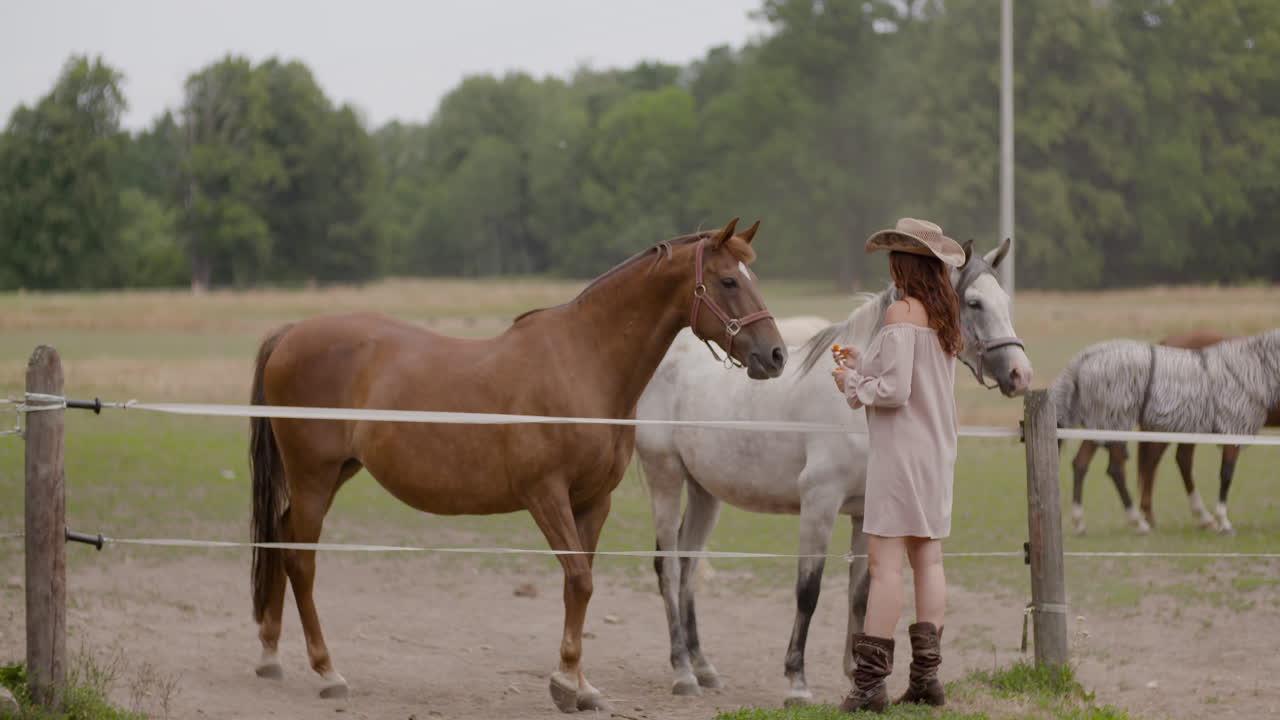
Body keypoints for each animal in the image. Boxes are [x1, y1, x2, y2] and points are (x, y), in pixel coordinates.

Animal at [246, 218, 787, 712]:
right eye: (728, 281)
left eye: (752, 277)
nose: (776, 355)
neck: (582, 363)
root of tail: (290, 333)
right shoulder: (545, 495)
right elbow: (580, 580)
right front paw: (565, 683)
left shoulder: (593, 502)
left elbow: (579, 584)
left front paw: (581, 685)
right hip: (314, 477)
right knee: (301, 559)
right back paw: (327, 671)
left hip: (337, 472)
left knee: (280, 536)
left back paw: (270, 655)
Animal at [635, 239, 1031, 705]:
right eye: (974, 303)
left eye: (1004, 301)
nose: (1020, 374)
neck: (858, 406)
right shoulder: (819, 505)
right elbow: (809, 591)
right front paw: (797, 682)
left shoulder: (865, 512)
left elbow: (862, 593)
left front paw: (858, 673)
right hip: (665, 478)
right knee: (668, 567)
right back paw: (682, 672)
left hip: (704, 493)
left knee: (689, 566)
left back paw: (703, 667)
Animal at [1055, 328, 1280, 536]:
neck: (1250, 368)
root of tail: (1086, 357)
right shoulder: (1233, 430)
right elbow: (1226, 474)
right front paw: (1224, 522)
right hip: (1116, 422)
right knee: (1117, 469)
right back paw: (1140, 522)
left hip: (1103, 424)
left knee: (1081, 464)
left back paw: (1080, 523)